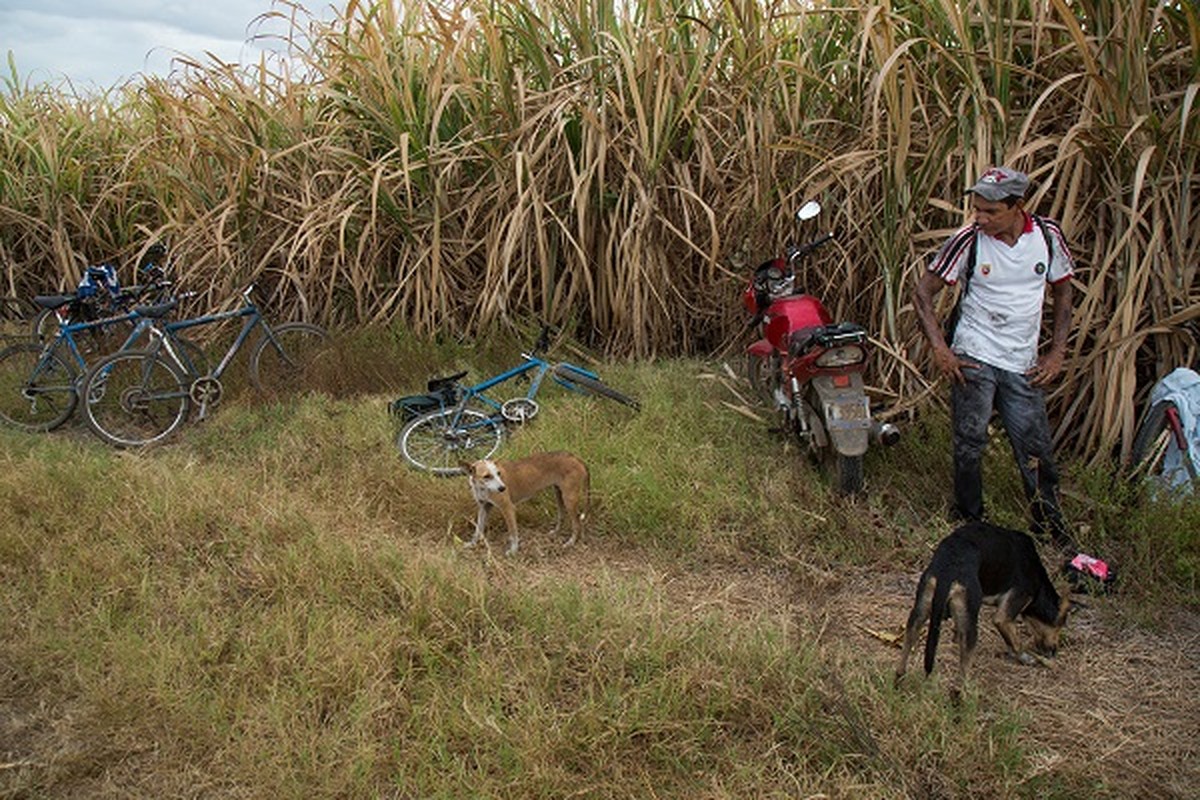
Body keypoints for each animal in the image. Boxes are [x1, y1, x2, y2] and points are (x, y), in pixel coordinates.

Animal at [458, 450, 590, 556]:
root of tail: (576, 458)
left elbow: (513, 533)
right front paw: (472, 544)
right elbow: (478, 529)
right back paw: (556, 532)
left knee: (577, 524)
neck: (483, 488)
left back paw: (571, 542)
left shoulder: (508, 508)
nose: (503, 488)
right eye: (487, 476)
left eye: (498, 473)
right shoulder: (484, 508)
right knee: (561, 516)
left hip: (569, 500)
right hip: (559, 495)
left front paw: (514, 551)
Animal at [897, 522, 1075, 686]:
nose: (1054, 652)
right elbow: (1015, 643)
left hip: (919, 612)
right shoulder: (1007, 612)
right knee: (963, 670)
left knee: (904, 654)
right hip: (969, 630)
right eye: (1061, 625)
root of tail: (949, 567)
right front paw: (1025, 658)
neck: (1039, 584)